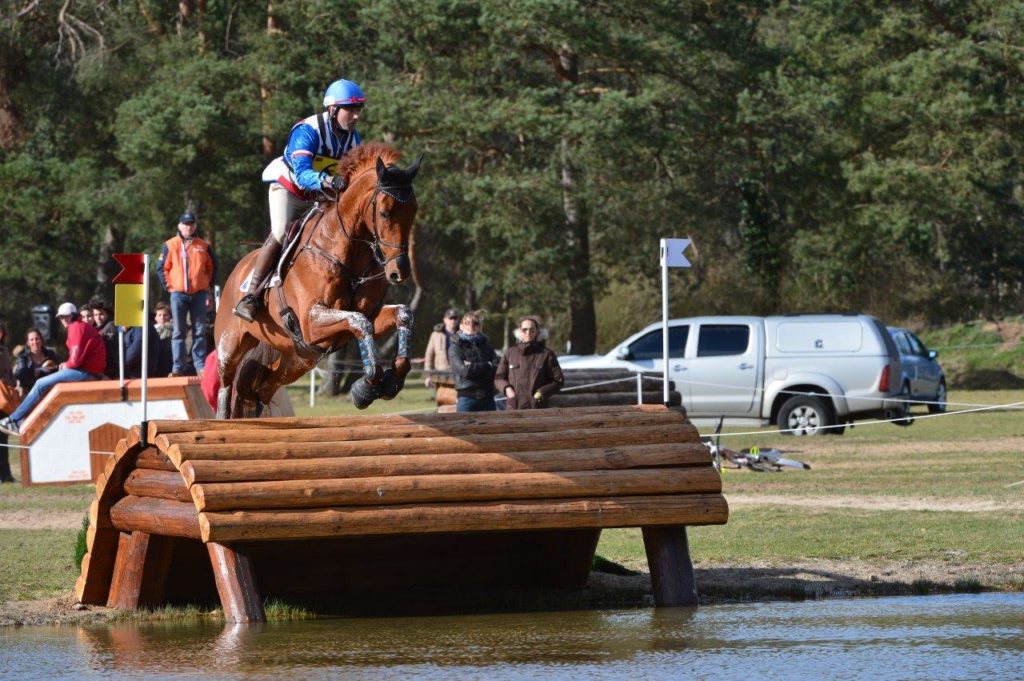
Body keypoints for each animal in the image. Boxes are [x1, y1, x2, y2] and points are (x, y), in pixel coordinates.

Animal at [214, 142, 421, 417]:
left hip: (298, 358)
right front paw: (367, 387)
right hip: (230, 344)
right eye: (385, 213)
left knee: (262, 387)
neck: (348, 255)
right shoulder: (311, 321)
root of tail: (237, 271)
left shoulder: (364, 314)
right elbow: (360, 322)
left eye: (414, 211)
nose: (400, 271)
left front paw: (391, 380)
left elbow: (400, 314)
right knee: (226, 384)